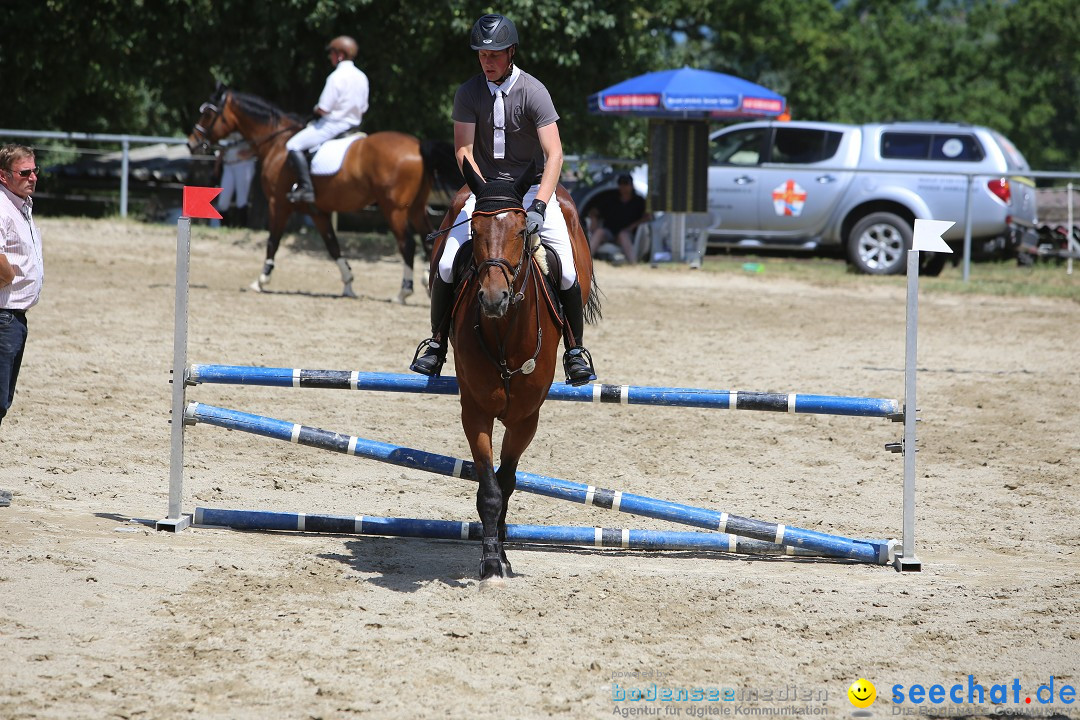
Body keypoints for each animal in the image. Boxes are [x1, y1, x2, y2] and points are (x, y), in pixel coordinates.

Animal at [187, 85, 453, 302]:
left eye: (208, 113)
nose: (191, 143)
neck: (277, 143)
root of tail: (417, 145)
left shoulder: (278, 204)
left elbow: (273, 241)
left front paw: (261, 280)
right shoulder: (317, 211)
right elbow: (332, 245)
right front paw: (348, 284)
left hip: (394, 209)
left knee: (407, 244)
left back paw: (403, 292)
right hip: (416, 207)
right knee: (430, 240)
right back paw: (427, 286)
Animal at [442, 161, 604, 587]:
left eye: (520, 231)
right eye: (474, 232)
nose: (493, 298)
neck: (505, 333)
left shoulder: (524, 419)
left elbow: (508, 482)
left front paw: (502, 555)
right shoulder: (476, 413)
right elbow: (490, 490)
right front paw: (491, 563)